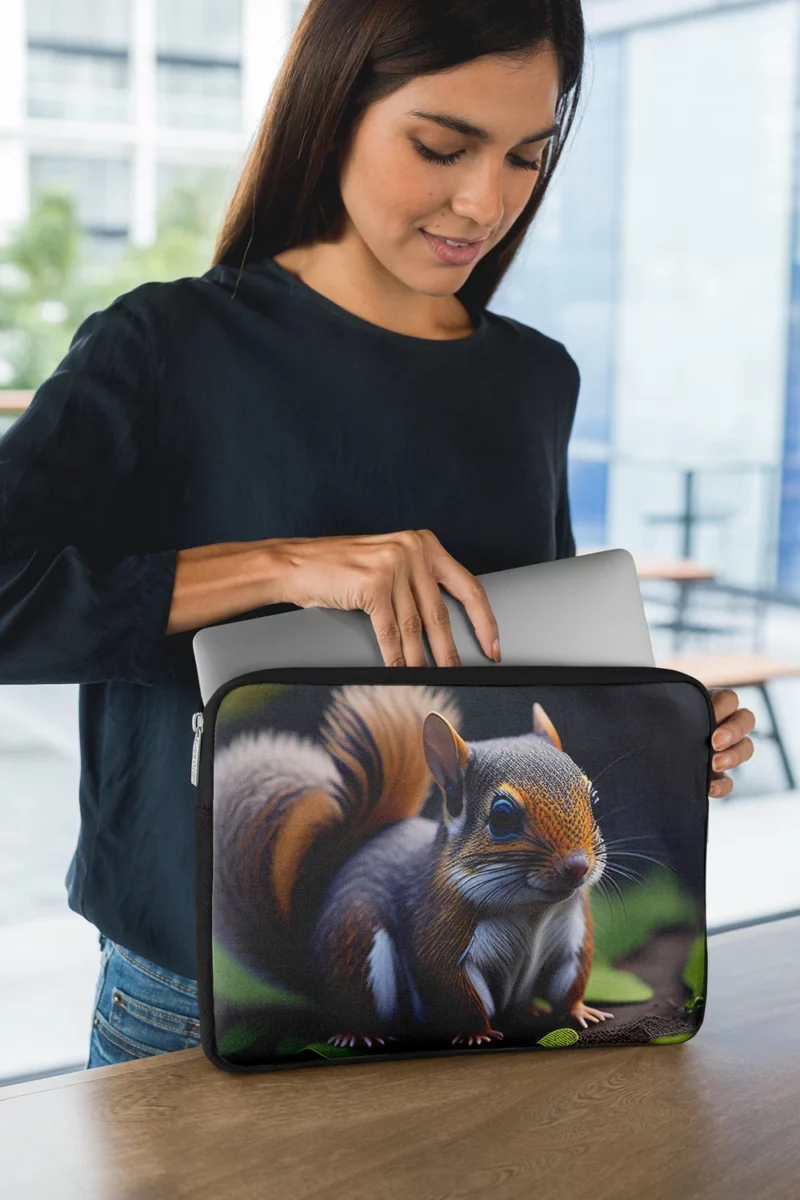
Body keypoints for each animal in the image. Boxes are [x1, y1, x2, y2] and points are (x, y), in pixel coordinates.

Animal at [212, 686, 614, 1051]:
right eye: (501, 817)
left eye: (595, 799)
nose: (577, 866)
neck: (532, 911)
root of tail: (308, 962)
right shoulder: (439, 932)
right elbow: (455, 989)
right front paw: (478, 1033)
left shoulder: (571, 937)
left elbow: (569, 982)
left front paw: (580, 1011)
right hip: (355, 940)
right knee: (356, 1004)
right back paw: (358, 1033)